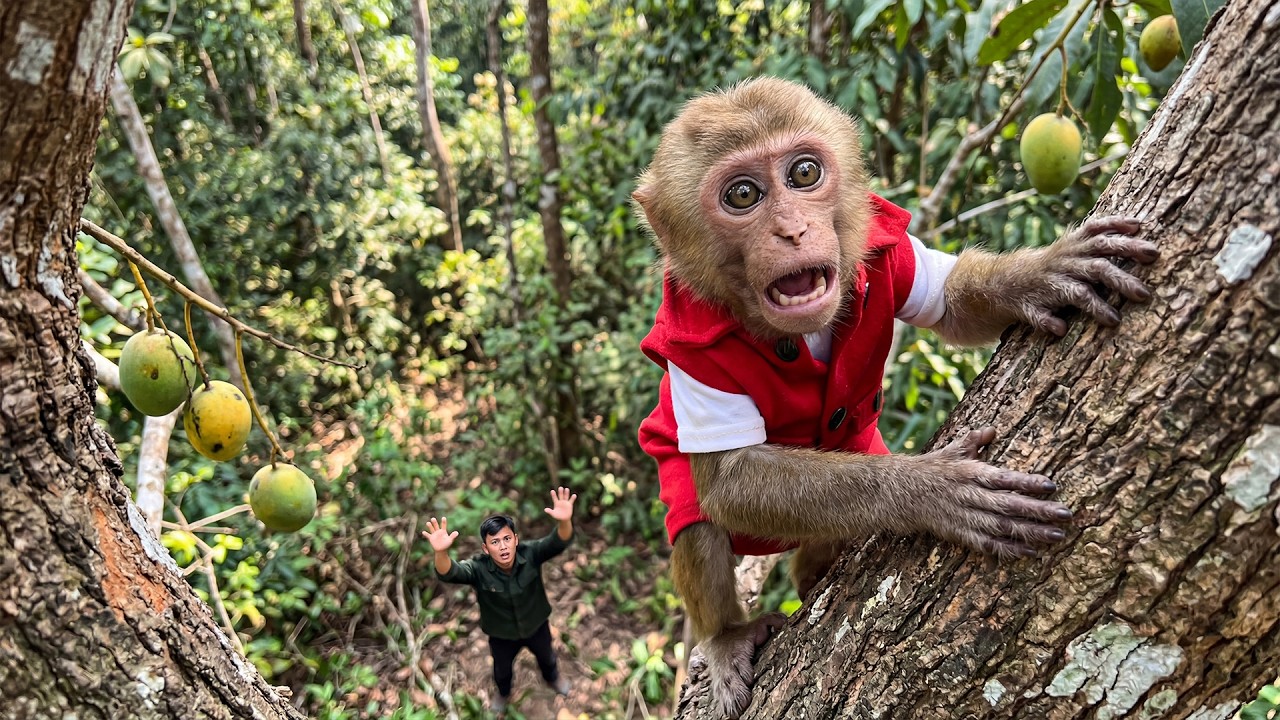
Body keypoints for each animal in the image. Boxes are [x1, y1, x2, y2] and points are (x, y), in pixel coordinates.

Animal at [632, 78, 1158, 719]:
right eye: (742, 195)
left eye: (803, 173)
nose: (792, 231)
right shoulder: (691, 349)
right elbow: (731, 480)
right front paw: (930, 490)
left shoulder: (889, 250)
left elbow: (952, 303)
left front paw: (1036, 274)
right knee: (700, 528)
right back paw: (728, 635)